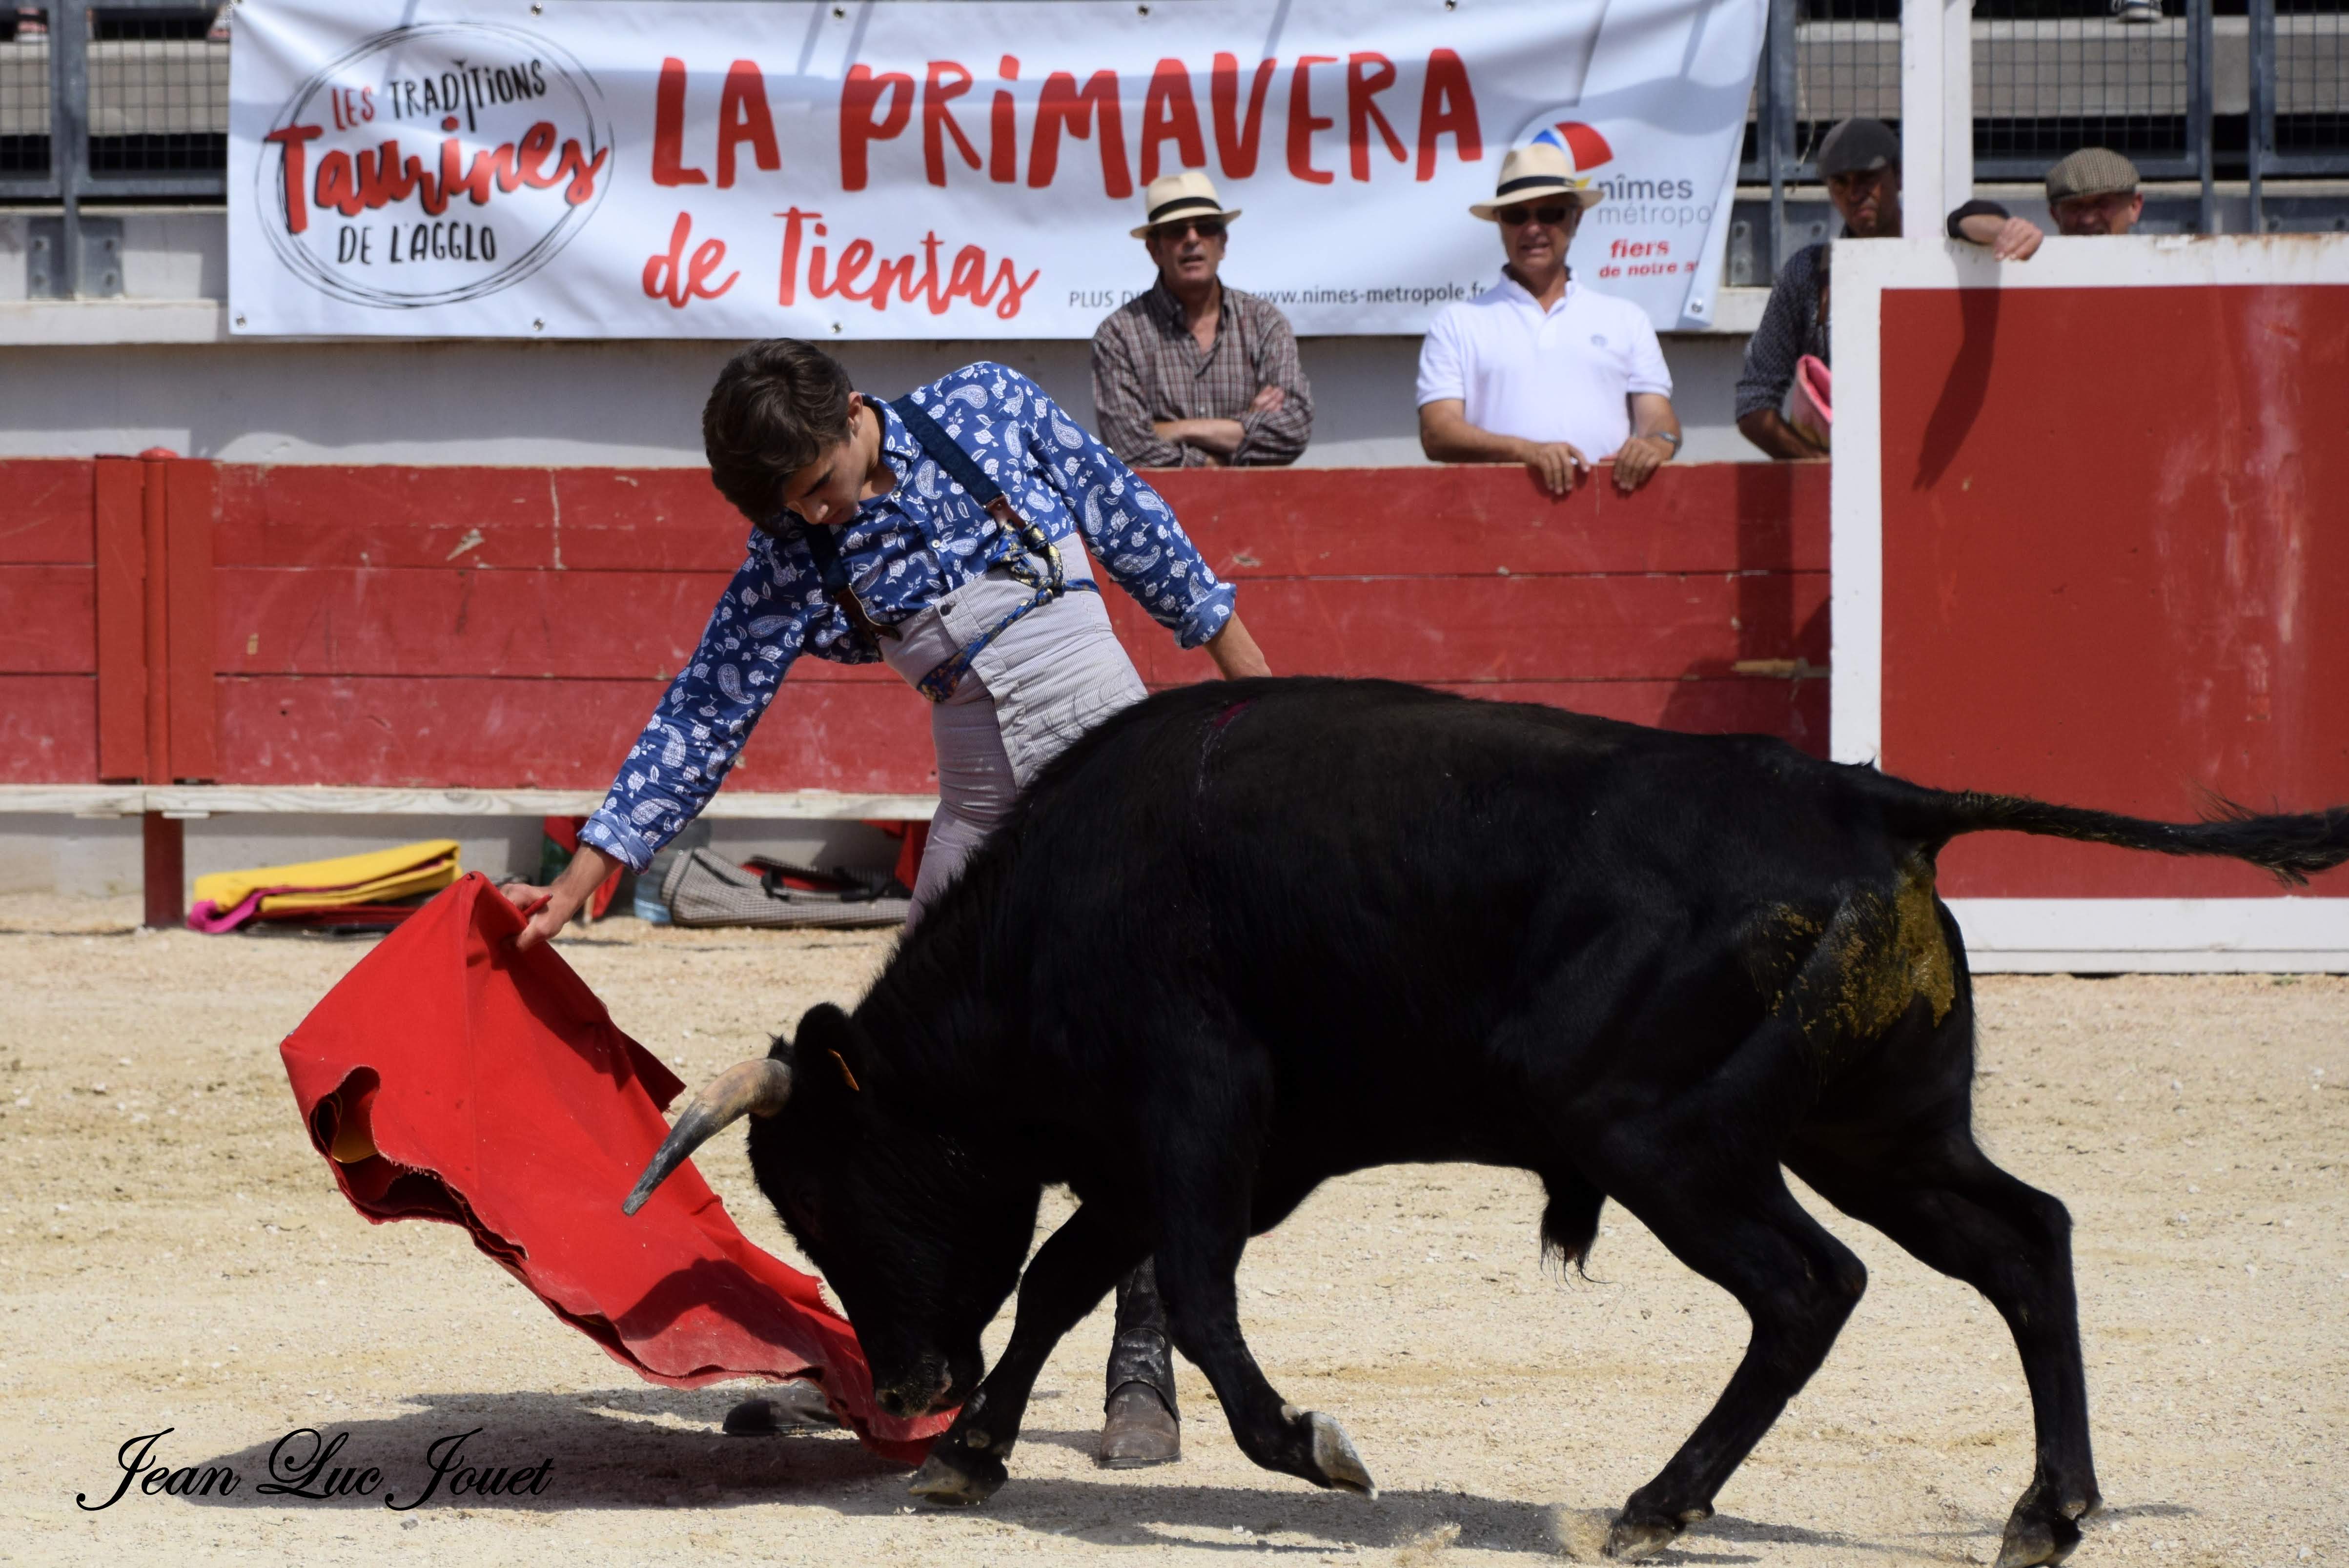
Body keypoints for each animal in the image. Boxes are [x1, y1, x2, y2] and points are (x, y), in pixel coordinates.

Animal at [625, 680, 2349, 1558]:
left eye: (837, 1191)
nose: (909, 1386)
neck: (1056, 914)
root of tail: (1863, 794)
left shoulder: (1200, 1118)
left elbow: (1187, 1298)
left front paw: (1312, 1449)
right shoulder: (1172, 1152)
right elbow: (1063, 1280)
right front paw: (972, 1460)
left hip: (1661, 1139)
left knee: (1810, 1288)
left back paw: (1651, 1508)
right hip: (1881, 1136)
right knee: (2020, 1241)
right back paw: (2044, 1511)